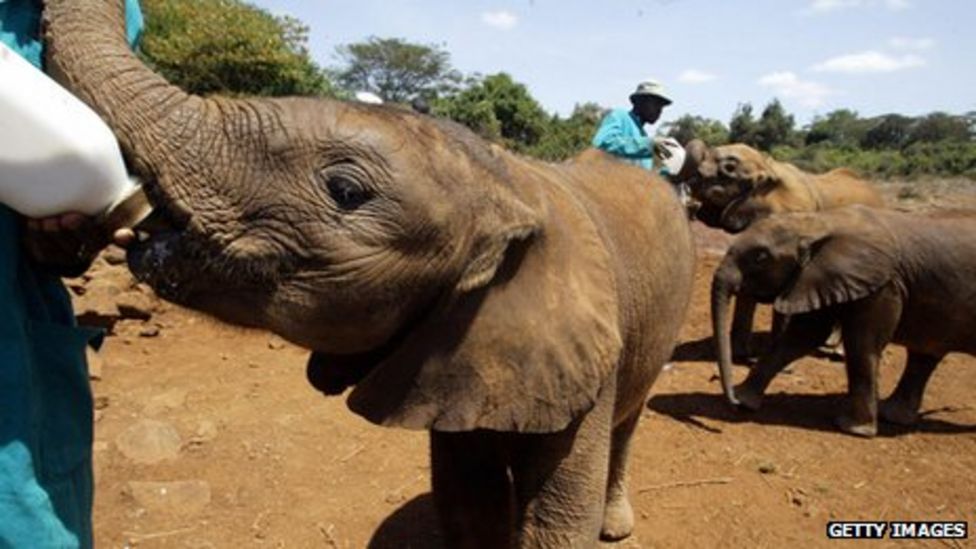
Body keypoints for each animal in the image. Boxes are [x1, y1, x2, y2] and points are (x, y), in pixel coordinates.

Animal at [43, 1, 695, 546]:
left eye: (346, 191)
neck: (506, 182)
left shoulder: (582, 349)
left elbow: (557, 523)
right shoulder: (453, 354)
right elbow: (468, 503)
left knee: (629, 420)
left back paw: (616, 525)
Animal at [711, 205, 976, 437]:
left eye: (760, 257)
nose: (731, 403)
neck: (819, 223)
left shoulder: (884, 285)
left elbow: (861, 345)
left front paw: (853, 430)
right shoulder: (821, 277)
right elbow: (803, 336)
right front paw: (744, 400)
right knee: (924, 356)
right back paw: (893, 415)